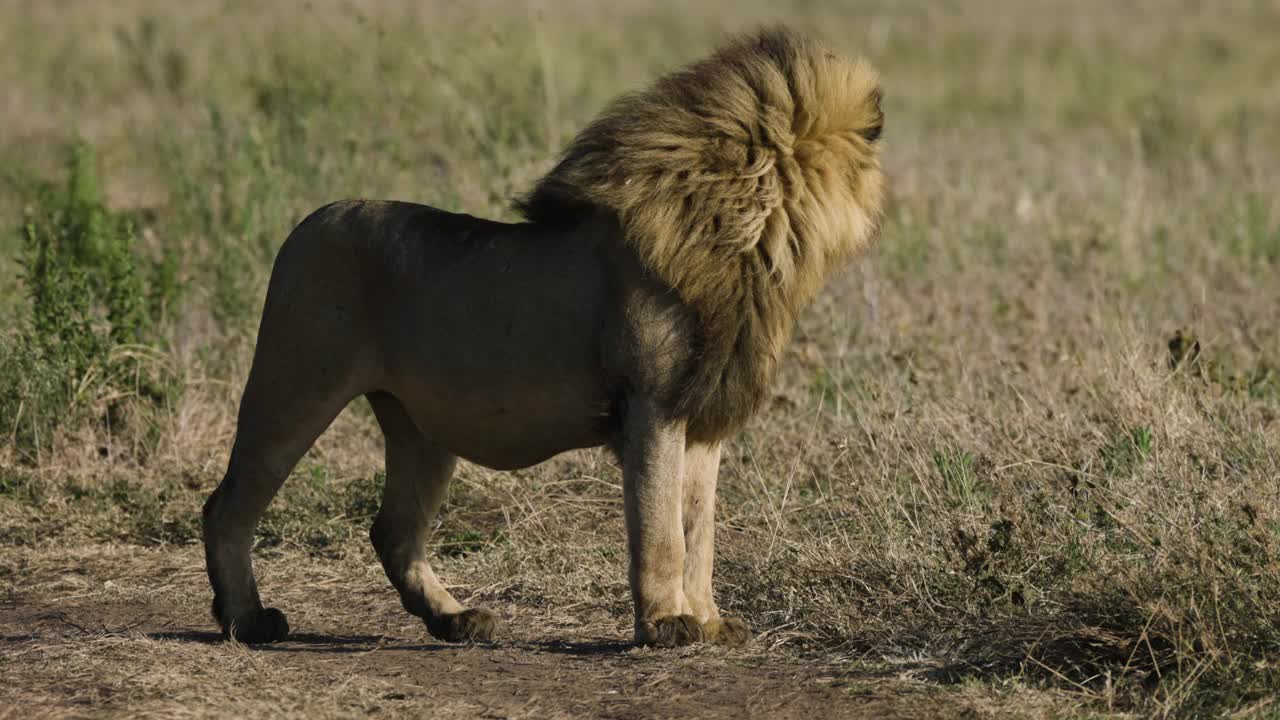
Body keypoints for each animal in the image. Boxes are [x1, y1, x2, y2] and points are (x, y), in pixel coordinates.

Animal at [204, 26, 885, 645]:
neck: (751, 231)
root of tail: (310, 221)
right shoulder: (651, 407)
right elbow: (662, 531)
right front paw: (666, 626)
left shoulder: (702, 419)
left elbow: (701, 531)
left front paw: (711, 622)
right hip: (295, 386)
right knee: (229, 506)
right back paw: (248, 621)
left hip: (421, 426)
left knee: (393, 531)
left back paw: (456, 620)